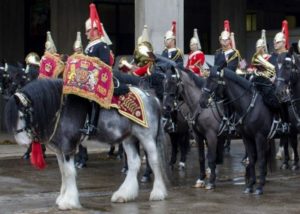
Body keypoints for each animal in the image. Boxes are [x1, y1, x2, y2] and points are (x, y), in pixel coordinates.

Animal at [5, 78, 169, 209]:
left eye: (22, 115)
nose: (23, 142)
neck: (61, 109)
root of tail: (151, 97)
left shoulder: (68, 147)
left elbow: (69, 172)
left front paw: (68, 202)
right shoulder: (59, 150)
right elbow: (63, 172)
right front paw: (62, 198)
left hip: (147, 137)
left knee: (154, 161)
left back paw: (158, 193)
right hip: (129, 138)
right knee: (134, 163)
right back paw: (124, 194)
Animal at [199, 66, 274, 195]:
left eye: (214, 81)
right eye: (206, 79)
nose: (202, 101)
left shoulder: (259, 136)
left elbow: (260, 159)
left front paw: (259, 187)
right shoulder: (247, 137)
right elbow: (252, 159)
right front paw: (250, 185)